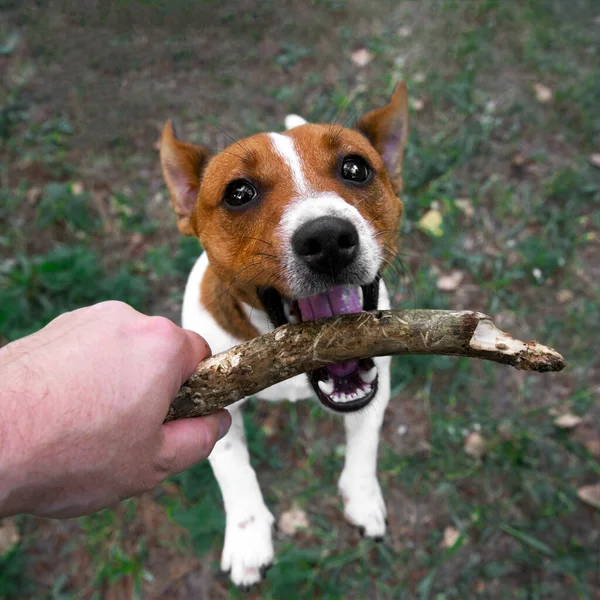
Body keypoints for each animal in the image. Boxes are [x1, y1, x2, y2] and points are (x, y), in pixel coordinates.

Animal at [161, 82, 408, 588]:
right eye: (238, 193)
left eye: (356, 168)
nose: (328, 239)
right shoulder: (207, 395)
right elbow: (234, 469)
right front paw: (249, 537)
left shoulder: (380, 376)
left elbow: (366, 442)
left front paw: (362, 497)